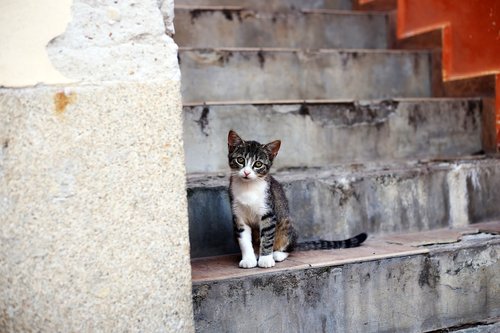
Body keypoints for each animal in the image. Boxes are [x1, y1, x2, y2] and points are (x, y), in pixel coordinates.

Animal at [228, 130, 368, 268]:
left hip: (286, 223)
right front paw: (248, 259)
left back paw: (277, 254)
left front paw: (266, 259)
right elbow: (244, 239)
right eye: (240, 160)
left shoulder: (269, 211)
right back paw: (256, 253)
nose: (246, 172)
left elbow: (267, 236)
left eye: (258, 164)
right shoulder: (238, 215)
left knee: (289, 247)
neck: (248, 187)